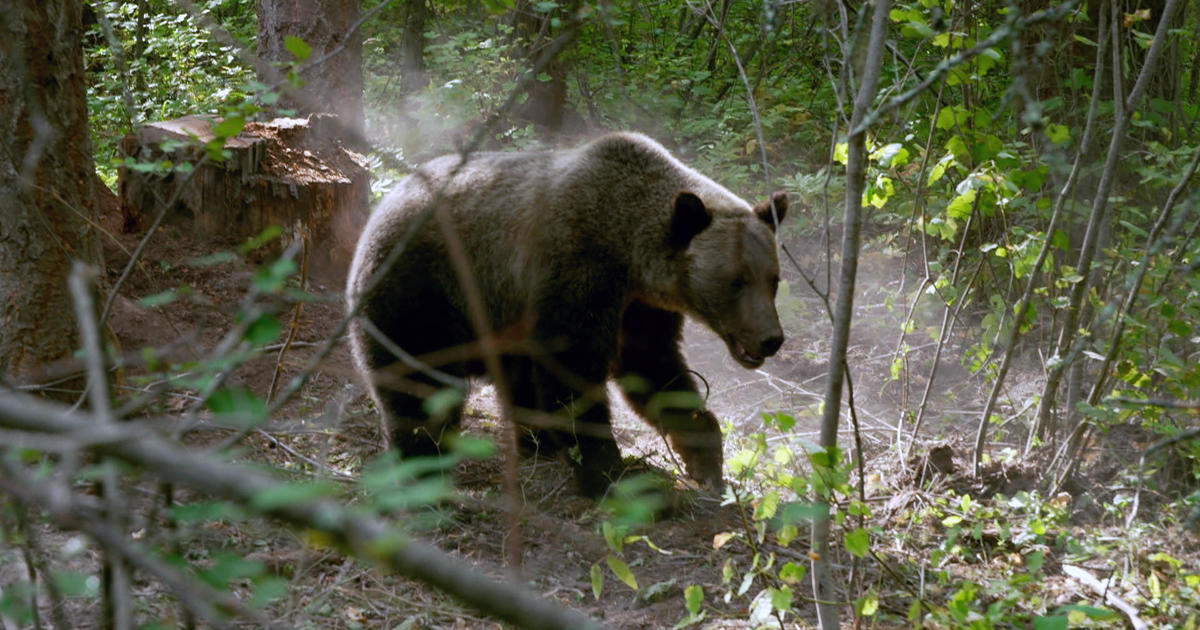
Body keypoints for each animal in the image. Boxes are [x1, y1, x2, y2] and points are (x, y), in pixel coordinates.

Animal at [348, 131, 787, 496]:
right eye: (736, 281)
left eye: (773, 279)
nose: (771, 338)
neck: (630, 253)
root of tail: (383, 204)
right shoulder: (576, 270)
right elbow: (573, 371)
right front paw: (608, 473)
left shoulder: (640, 307)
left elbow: (654, 368)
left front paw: (706, 460)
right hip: (426, 289)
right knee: (420, 384)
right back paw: (422, 463)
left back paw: (534, 443)